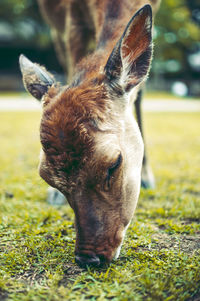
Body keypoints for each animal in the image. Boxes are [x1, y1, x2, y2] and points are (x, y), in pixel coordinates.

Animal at [19, 0, 161, 268]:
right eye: (47, 177)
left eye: (113, 164)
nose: (88, 257)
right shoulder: (71, 21)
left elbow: (141, 89)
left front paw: (148, 176)